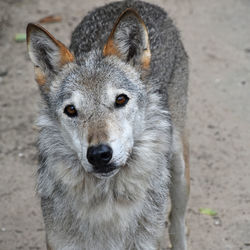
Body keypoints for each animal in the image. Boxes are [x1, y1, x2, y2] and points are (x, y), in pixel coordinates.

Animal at [25, 0, 189, 250]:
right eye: (71, 110)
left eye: (120, 100)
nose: (99, 154)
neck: (107, 204)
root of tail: (134, 3)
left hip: (179, 171)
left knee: (176, 220)